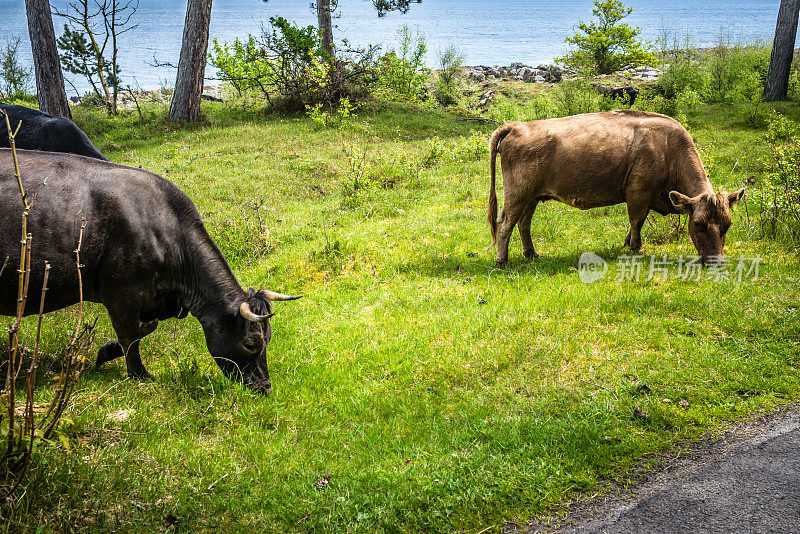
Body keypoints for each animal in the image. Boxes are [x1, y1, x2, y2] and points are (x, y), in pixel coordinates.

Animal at [0, 149, 300, 396]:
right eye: (251, 343)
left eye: (269, 338)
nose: (265, 388)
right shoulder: (122, 295)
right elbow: (131, 335)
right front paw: (139, 374)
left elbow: (144, 329)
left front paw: (105, 352)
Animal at [488, 111, 744, 266]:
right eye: (698, 224)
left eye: (728, 225)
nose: (716, 262)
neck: (668, 148)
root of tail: (516, 126)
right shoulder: (638, 192)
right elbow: (637, 220)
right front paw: (636, 248)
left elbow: (636, 223)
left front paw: (627, 243)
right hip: (517, 194)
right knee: (505, 221)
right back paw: (503, 260)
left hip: (531, 197)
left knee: (524, 223)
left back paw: (531, 253)